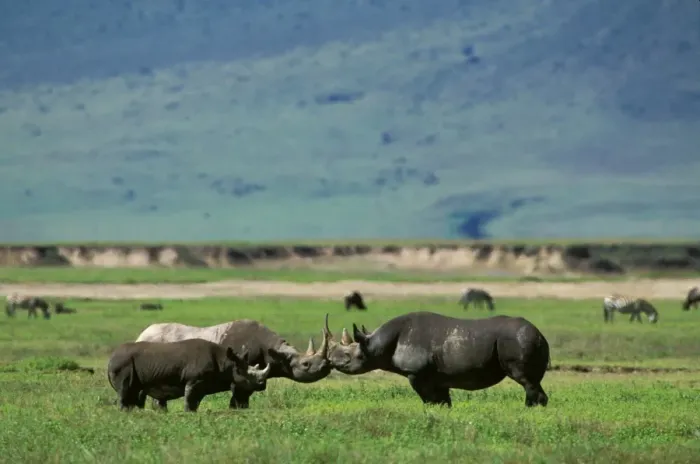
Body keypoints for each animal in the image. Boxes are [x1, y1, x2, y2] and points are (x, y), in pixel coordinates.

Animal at [107, 338, 271, 412]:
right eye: (245, 375)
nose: (262, 384)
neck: (227, 363)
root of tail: (110, 358)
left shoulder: (202, 385)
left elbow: (195, 401)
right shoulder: (194, 380)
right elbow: (190, 399)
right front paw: (188, 413)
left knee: (133, 391)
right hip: (123, 363)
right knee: (125, 389)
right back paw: (124, 412)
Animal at [134, 319, 332, 409]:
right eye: (305, 364)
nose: (326, 367)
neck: (276, 352)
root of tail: (140, 335)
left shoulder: (252, 376)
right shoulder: (241, 374)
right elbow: (238, 399)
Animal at [322, 312, 550, 408]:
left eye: (352, 357)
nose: (333, 361)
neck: (377, 343)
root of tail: (541, 335)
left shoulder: (416, 374)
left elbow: (429, 400)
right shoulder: (438, 377)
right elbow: (443, 402)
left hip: (519, 340)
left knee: (527, 381)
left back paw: (530, 411)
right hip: (525, 339)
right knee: (532, 381)